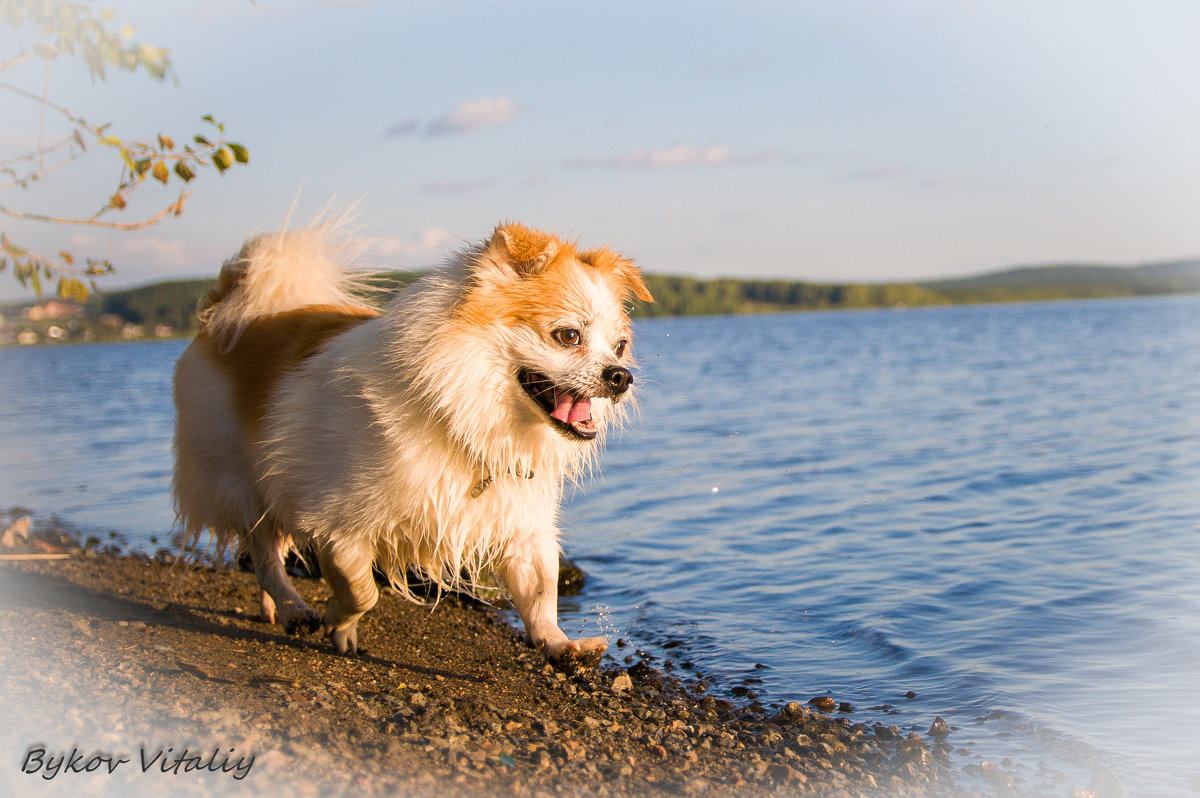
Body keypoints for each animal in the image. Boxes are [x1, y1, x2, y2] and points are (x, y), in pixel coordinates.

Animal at [174, 216, 652, 667]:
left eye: (619, 346)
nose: (620, 376)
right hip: (238, 485)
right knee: (264, 554)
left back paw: (273, 608)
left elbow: (540, 595)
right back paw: (295, 609)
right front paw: (337, 620)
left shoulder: (521, 523)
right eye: (568, 336)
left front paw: (558, 645)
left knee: (269, 553)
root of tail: (230, 311)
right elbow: (361, 591)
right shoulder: (337, 526)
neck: (463, 413)